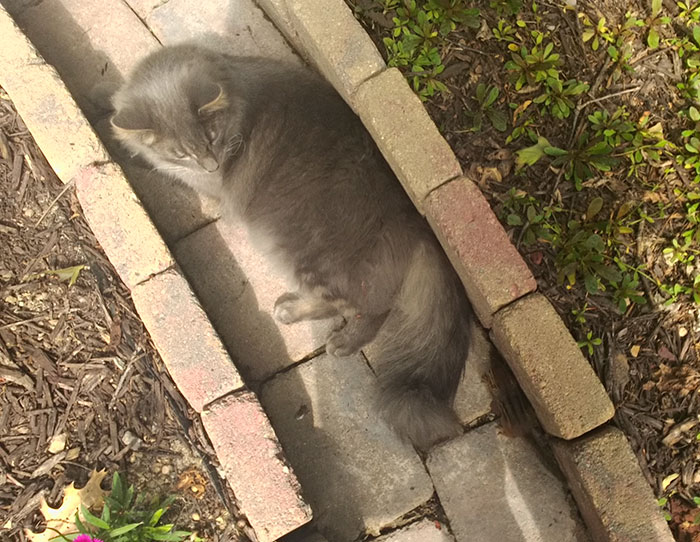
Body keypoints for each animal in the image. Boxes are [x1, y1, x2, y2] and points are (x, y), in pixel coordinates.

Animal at [113, 44, 476, 450]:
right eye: (182, 151)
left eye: (212, 137)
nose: (210, 164)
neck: (236, 90)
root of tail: (418, 224)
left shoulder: (211, 186)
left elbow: (163, 173)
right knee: (371, 307)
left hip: (301, 254)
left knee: (358, 305)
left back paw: (322, 328)